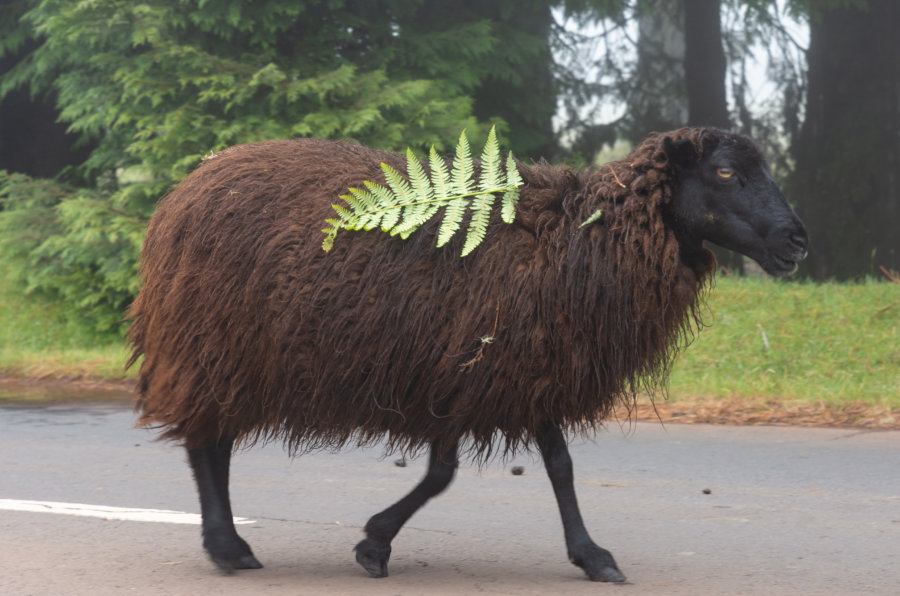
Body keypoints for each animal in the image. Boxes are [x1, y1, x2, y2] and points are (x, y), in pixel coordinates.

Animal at [126, 127, 808, 584]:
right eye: (725, 173)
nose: (797, 239)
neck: (582, 233)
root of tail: (188, 186)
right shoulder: (475, 368)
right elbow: (453, 472)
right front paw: (374, 544)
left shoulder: (512, 368)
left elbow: (546, 466)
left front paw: (590, 555)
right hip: (213, 345)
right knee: (207, 444)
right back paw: (227, 547)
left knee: (213, 442)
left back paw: (230, 545)